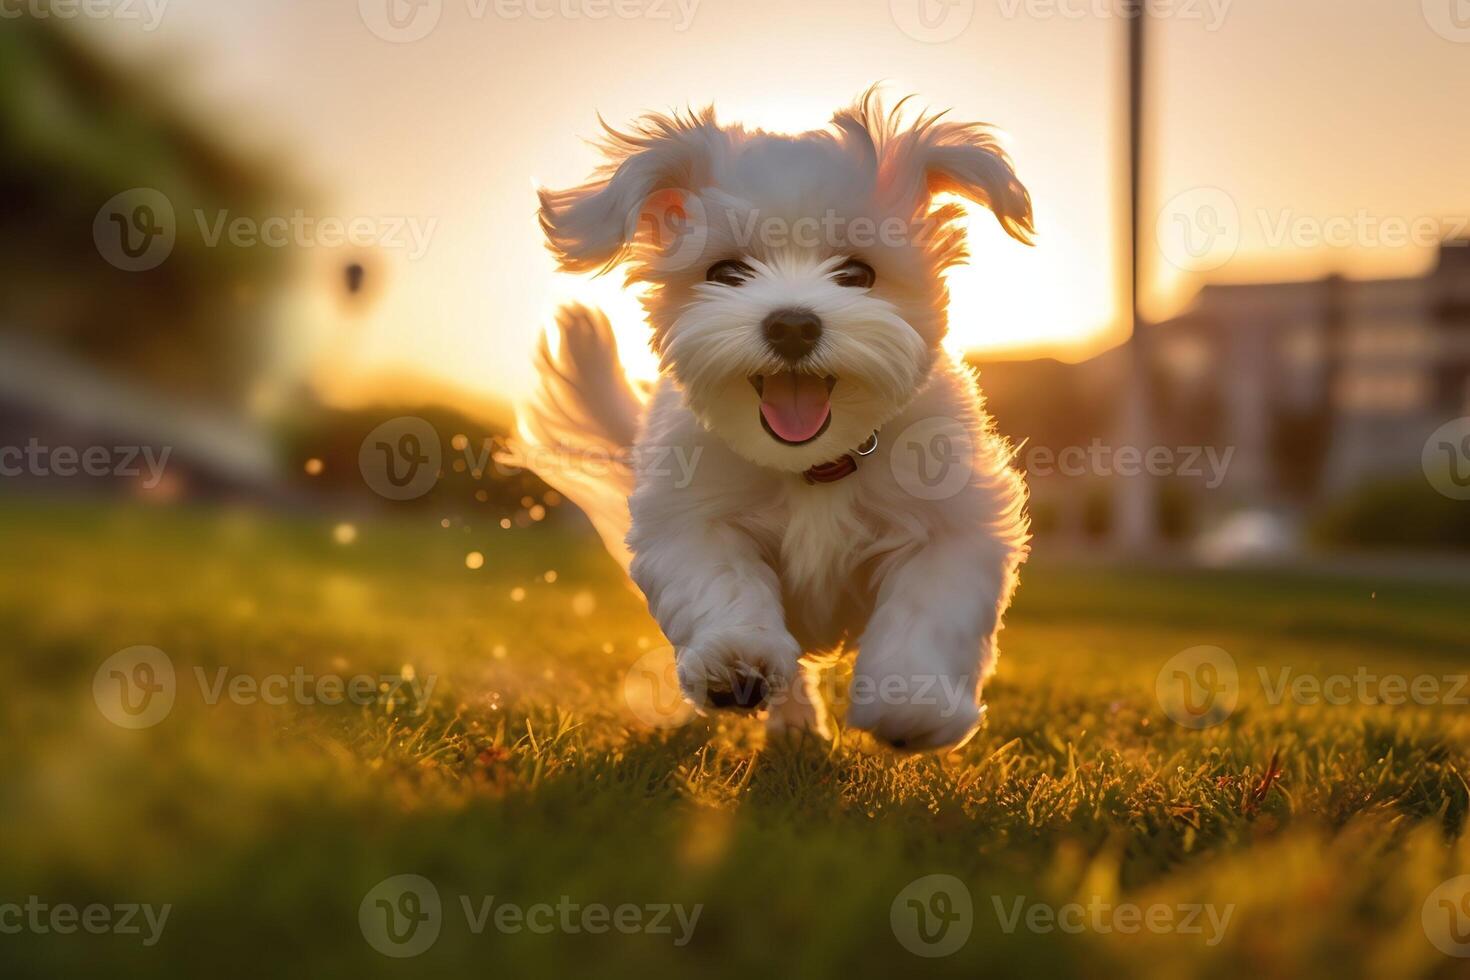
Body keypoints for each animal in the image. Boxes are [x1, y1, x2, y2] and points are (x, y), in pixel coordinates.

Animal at [517, 91, 1034, 752]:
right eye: (727, 272)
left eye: (857, 274)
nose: (792, 323)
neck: (814, 464)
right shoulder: (691, 516)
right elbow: (723, 580)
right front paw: (737, 661)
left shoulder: (954, 522)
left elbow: (930, 606)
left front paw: (912, 703)